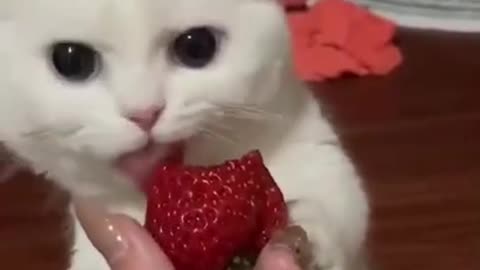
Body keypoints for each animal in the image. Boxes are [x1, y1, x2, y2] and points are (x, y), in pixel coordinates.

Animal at [0, 0, 370, 270]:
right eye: (71, 61)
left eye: (197, 46)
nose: (145, 113)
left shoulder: (313, 148)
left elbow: (338, 203)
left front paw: (307, 239)